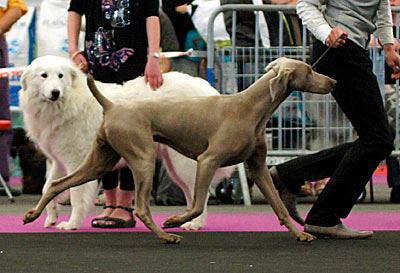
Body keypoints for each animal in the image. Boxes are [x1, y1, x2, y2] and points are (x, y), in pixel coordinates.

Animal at [20, 55, 234, 230]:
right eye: (44, 76)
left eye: (61, 76)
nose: (55, 92)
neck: (69, 101)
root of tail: (208, 89)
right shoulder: (59, 161)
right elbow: (49, 187)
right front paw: (50, 217)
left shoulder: (77, 161)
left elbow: (76, 195)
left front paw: (71, 224)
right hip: (175, 163)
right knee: (192, 194)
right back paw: (186, 221)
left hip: (182, 163)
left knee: (201, 195)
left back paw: (195, 224)